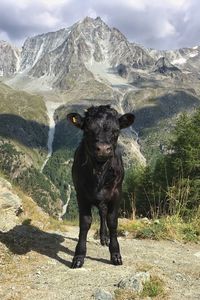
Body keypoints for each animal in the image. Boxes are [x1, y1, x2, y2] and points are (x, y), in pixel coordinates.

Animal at [67, 105, 134, 268]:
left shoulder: (117, 193)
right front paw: (79, 256)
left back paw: (104, 238)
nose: (103, 149)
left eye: (116, 130)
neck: (99, 171)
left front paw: (115, 254)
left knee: (103, 214)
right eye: (87, 130)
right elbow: (85, 222)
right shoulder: (80, 193)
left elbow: (112, 221)